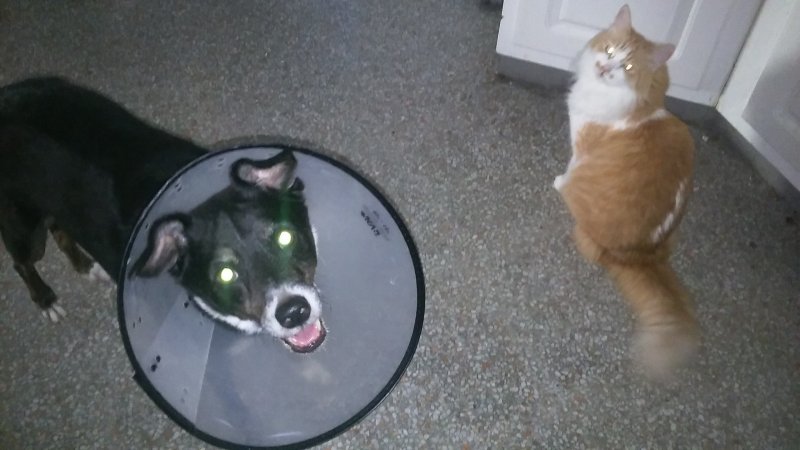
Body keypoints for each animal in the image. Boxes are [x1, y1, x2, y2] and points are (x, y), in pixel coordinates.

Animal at [0, 77, 326, 353]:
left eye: (285, 237)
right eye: (224, 274)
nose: (294, 312)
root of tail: (7, 95)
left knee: (59, 229)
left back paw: (86, 265)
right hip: (24, 228)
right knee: (22, 262)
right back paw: (46, 300)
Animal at [554, 4, 697, 379]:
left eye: (628, 67)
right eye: (609, 51)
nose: (606, 68)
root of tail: (639, 255)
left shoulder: (581, 145)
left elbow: (571, 166)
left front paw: (559, 180)